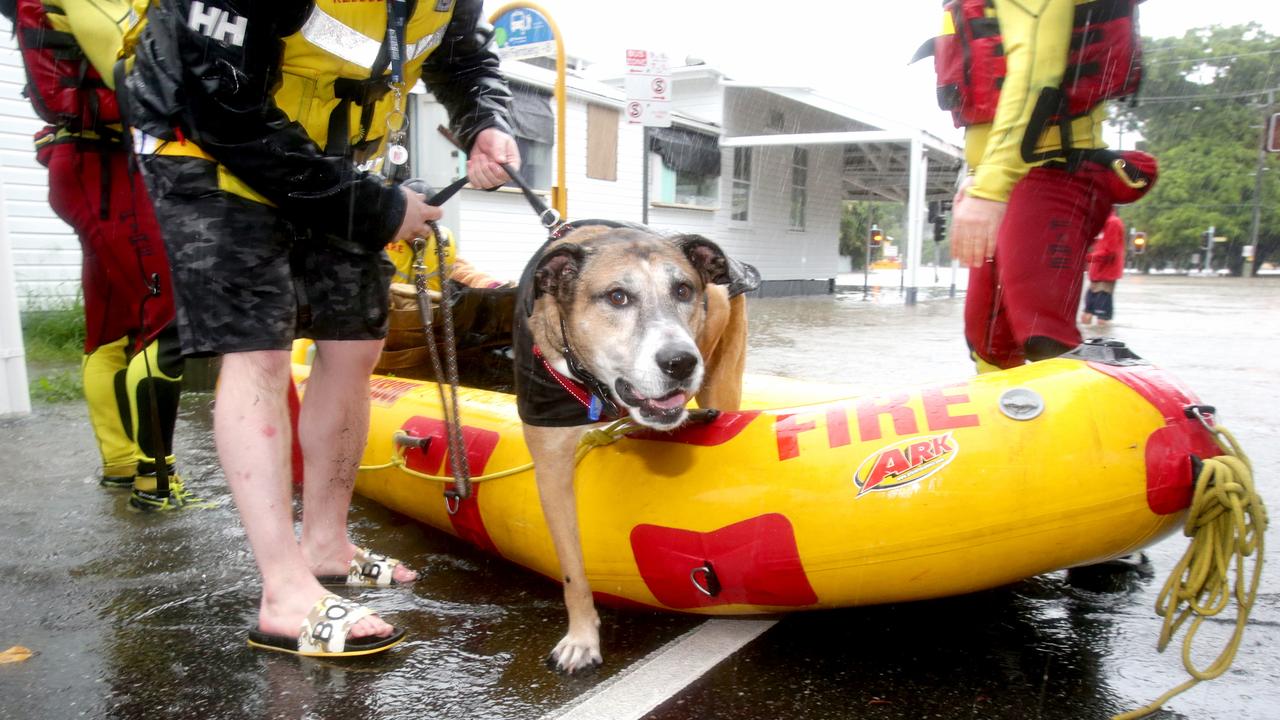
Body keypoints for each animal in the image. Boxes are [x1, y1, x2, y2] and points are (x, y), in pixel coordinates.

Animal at [512, 221, 747, 671]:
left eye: (684, 290)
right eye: (617, 297)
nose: (680, 362)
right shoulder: (551, 469)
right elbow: (572, 567)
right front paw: (581, 639)